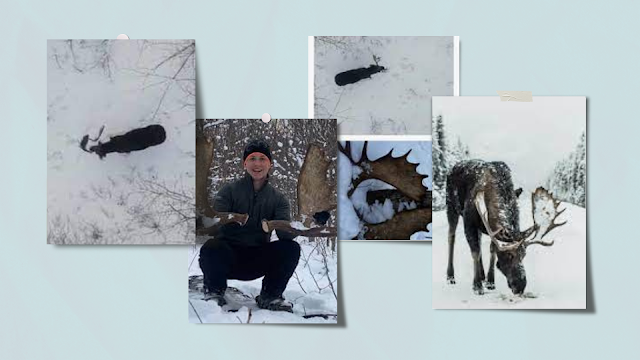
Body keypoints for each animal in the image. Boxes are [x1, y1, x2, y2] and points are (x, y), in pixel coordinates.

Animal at [448, 160, 568, 296]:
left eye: (524, 254)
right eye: (510, 255)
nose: (520, 286)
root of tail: (453, 167)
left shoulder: (492, 229)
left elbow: (492, 250)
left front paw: (490, 281)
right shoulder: (469, 222)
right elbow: (475, 252)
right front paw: (477, 286)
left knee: (478, 239)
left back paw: (483, 275)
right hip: (451, 207)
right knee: (451, 237)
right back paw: (450, 276)